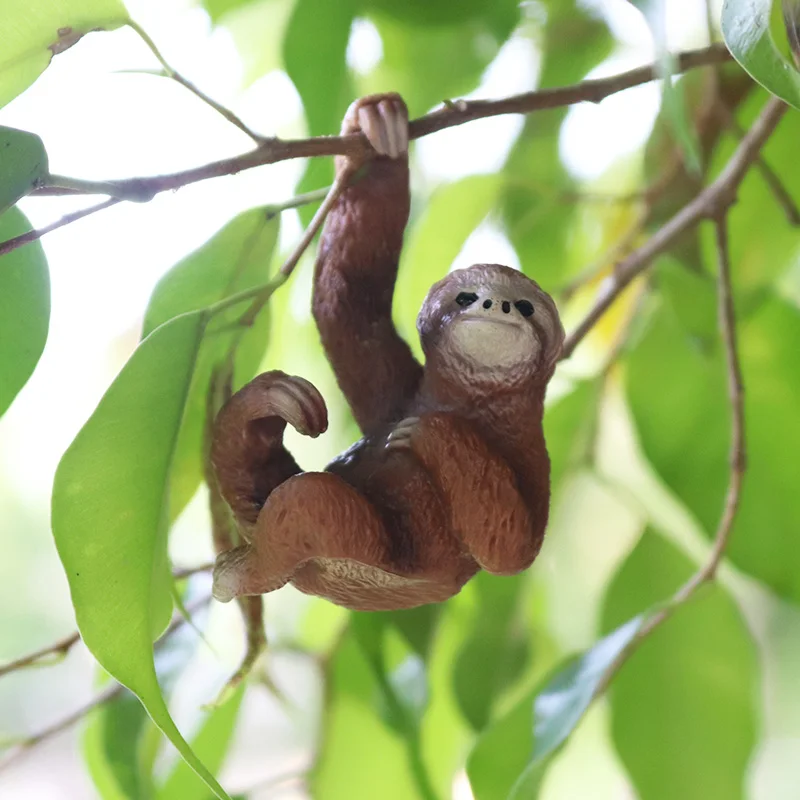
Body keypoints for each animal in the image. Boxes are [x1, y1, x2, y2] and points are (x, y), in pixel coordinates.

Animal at [209, 93, 565, 612]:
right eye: (466, 297)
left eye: (525, 306)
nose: (496, 304)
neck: (469, 401)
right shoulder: (393, 392)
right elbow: (347, 302)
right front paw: (379, 128)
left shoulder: (531, 450)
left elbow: (510, 545)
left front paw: (433, 433)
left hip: (365, 547)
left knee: (310, 503)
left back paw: (243, 571)